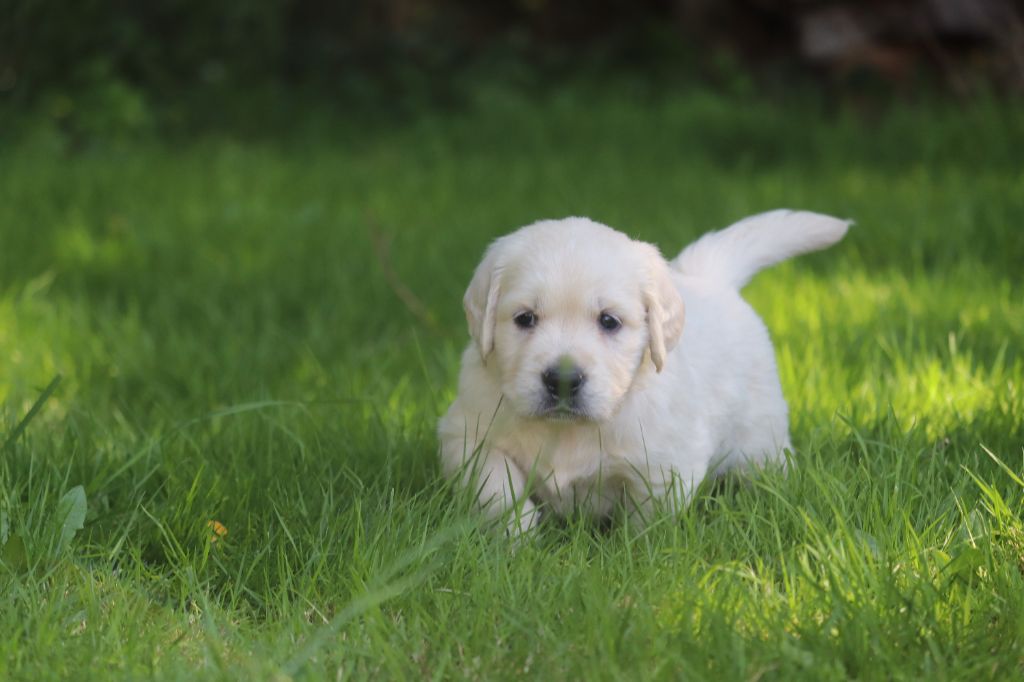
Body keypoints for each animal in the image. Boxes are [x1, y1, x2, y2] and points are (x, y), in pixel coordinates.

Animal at [440, 209, 847, 528]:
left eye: (609, 321)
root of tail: (709, 280)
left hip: (762, 438)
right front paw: (518, 541)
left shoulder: (665, 465)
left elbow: (646, 522)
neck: (570, 431)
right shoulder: (465, 434)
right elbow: (498, 488)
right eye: (525, 318)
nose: (564, 380)